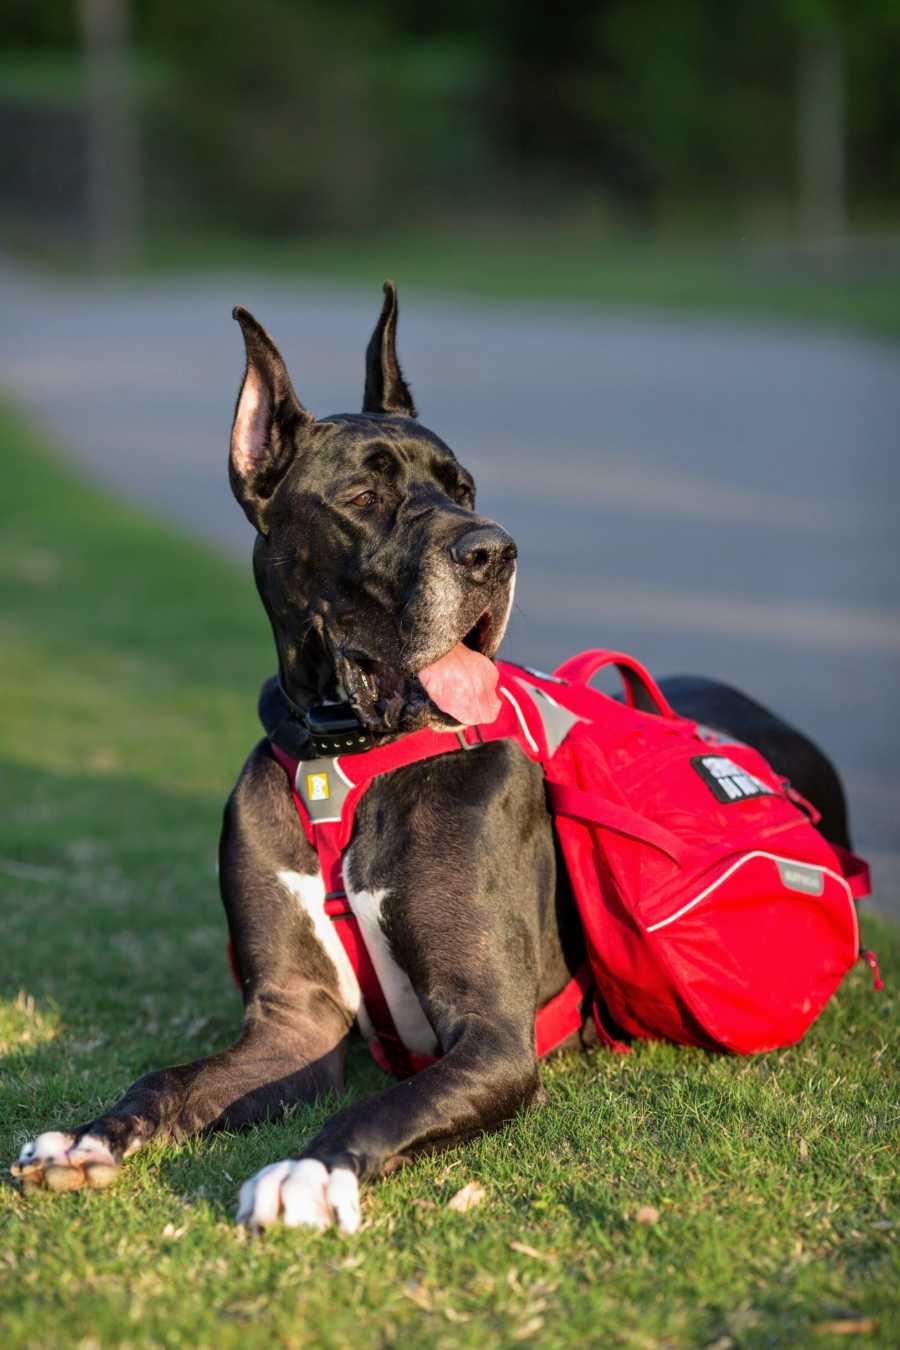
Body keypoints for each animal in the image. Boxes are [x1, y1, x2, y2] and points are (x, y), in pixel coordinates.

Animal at [10, 284, 852, 1236]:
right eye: (363, 493)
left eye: (465, 488)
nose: (494, 551)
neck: (346, 759)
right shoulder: (292, 1024)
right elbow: (166, 1078)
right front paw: (87, 1137)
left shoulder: (492, 1036)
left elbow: (382, 1104)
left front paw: (308, 1169)